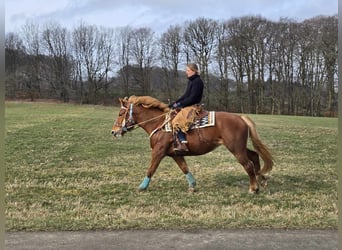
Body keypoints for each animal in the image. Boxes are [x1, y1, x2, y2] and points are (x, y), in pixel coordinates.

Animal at [111, 95, 274, 193]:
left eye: (120, 113)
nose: (113, 131)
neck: (159, 124)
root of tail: (240, 117)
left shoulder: (158, 151)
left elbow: (151, 169)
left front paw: (142, 187)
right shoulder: (175, 154)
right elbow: (184, 168)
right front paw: (192, 185)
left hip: (235, 149)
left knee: (248, 165)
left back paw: (254, 188)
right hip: (239, 147)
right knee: (255, 156)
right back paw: (262, 180)